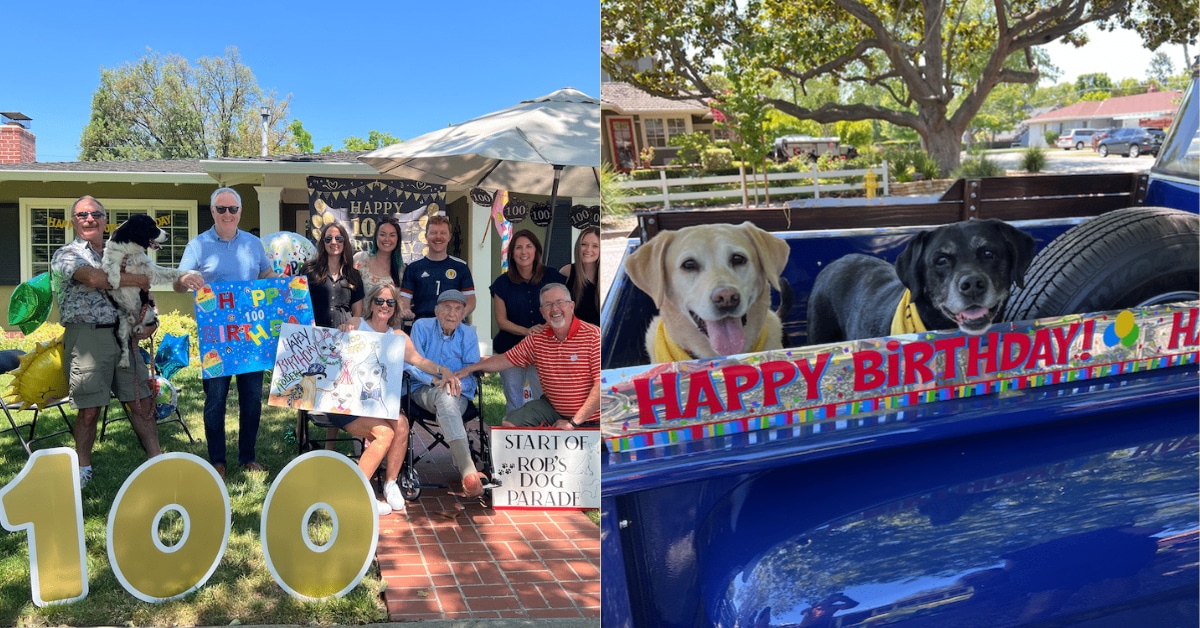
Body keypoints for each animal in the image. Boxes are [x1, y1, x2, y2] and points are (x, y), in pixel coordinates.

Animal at [102, 214, 198, 369]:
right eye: (152, 226)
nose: (167, 234)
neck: (131, 250)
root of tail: (133, 320)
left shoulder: (150, 270)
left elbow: (171, 271)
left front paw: (191, 274)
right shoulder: (109, 259)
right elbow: (113, 265)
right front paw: (115, 281)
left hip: (149, 312)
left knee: (146, 325)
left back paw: (139, 329)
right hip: (122, 326)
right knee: (125, 346)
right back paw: (124, 362)